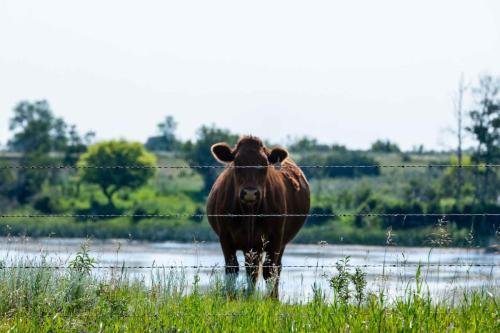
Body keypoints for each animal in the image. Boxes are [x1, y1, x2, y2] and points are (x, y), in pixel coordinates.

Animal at [206, 135, 308, 296]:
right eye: (237, 163)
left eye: (264, 164)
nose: (250, 192)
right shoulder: (225, 237)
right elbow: (232, 268)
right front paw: (230, 297)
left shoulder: (276, 237)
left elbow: (269, 270)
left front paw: (271, 299)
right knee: (251, 270)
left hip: (276, 243)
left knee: (274, 268)